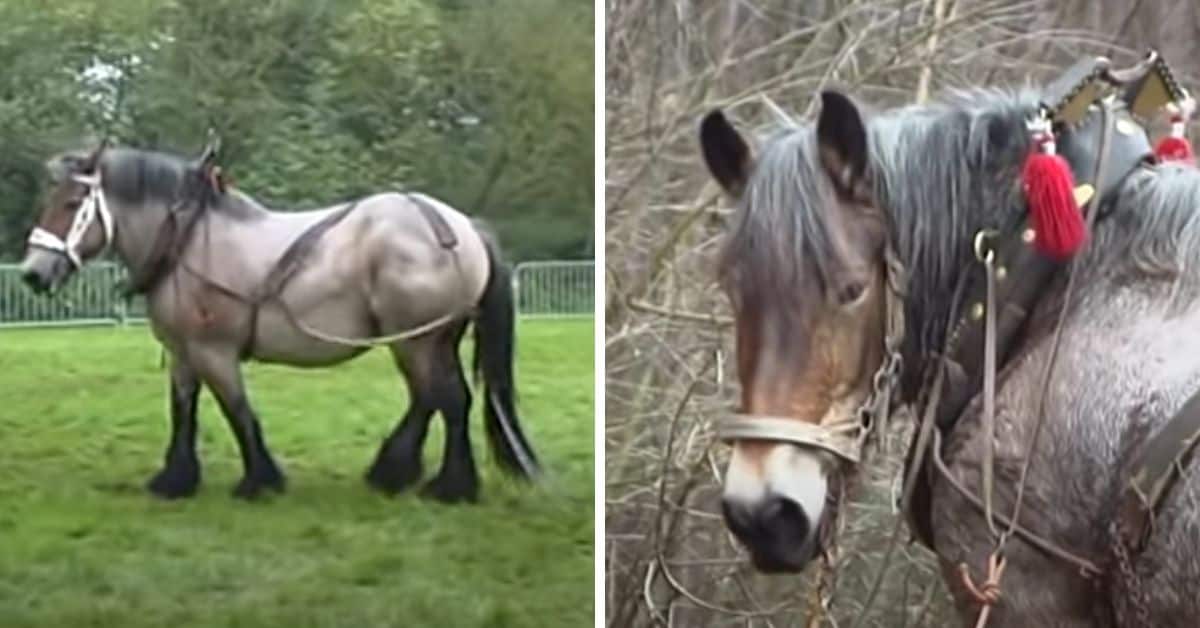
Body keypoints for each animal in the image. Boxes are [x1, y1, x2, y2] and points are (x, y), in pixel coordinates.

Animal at [18, 139, 540, 504]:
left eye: (71, 204)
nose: (31, 274)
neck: (185, 242)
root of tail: (463, 227)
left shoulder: (213, 352)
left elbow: (238, 411)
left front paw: (259, 480)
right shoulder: (184, 353)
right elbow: (183, 411)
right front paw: (176, 479)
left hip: (418, 341)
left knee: (446, 400)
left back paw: (447, 487)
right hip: (424, 342)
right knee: (433, 398)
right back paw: (396, 472)